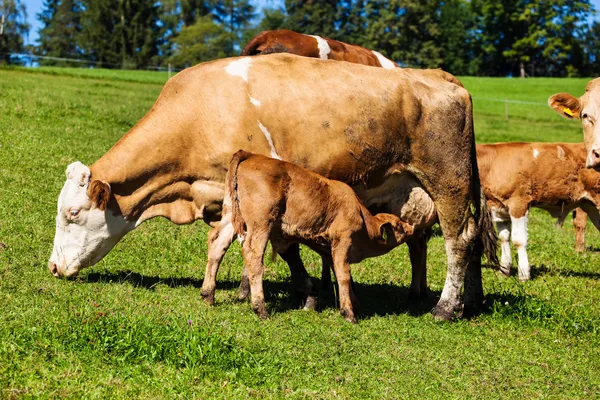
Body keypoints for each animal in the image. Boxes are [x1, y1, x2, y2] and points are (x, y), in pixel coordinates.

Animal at [223, 150, 414, 322]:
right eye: (398, 225)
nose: (411, 227)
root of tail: (251, 155)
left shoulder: (327, 247)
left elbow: (339, 272)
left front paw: (354, 305)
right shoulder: (342, 240)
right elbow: (344, 275)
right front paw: (348, 313)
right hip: (261, 225)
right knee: (254, 258)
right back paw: (261, 309)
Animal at [478, 141, 600, 282]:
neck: (492, 163)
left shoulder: (519, 204)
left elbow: (519, 240)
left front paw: (523, 274)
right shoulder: (499, 207)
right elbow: (504, 238)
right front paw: (504, 271)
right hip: (591, 207)